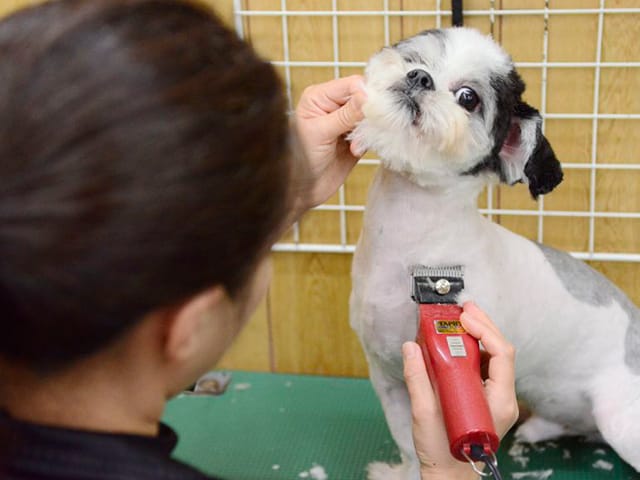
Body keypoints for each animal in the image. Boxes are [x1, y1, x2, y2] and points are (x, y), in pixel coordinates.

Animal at [350, 28, 640, 478]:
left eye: (468, 97)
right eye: (415, 58)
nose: (419, 78)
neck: (410, 238)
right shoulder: (388, 378)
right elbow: (409, 445)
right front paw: (403, 471)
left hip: (621, 418)